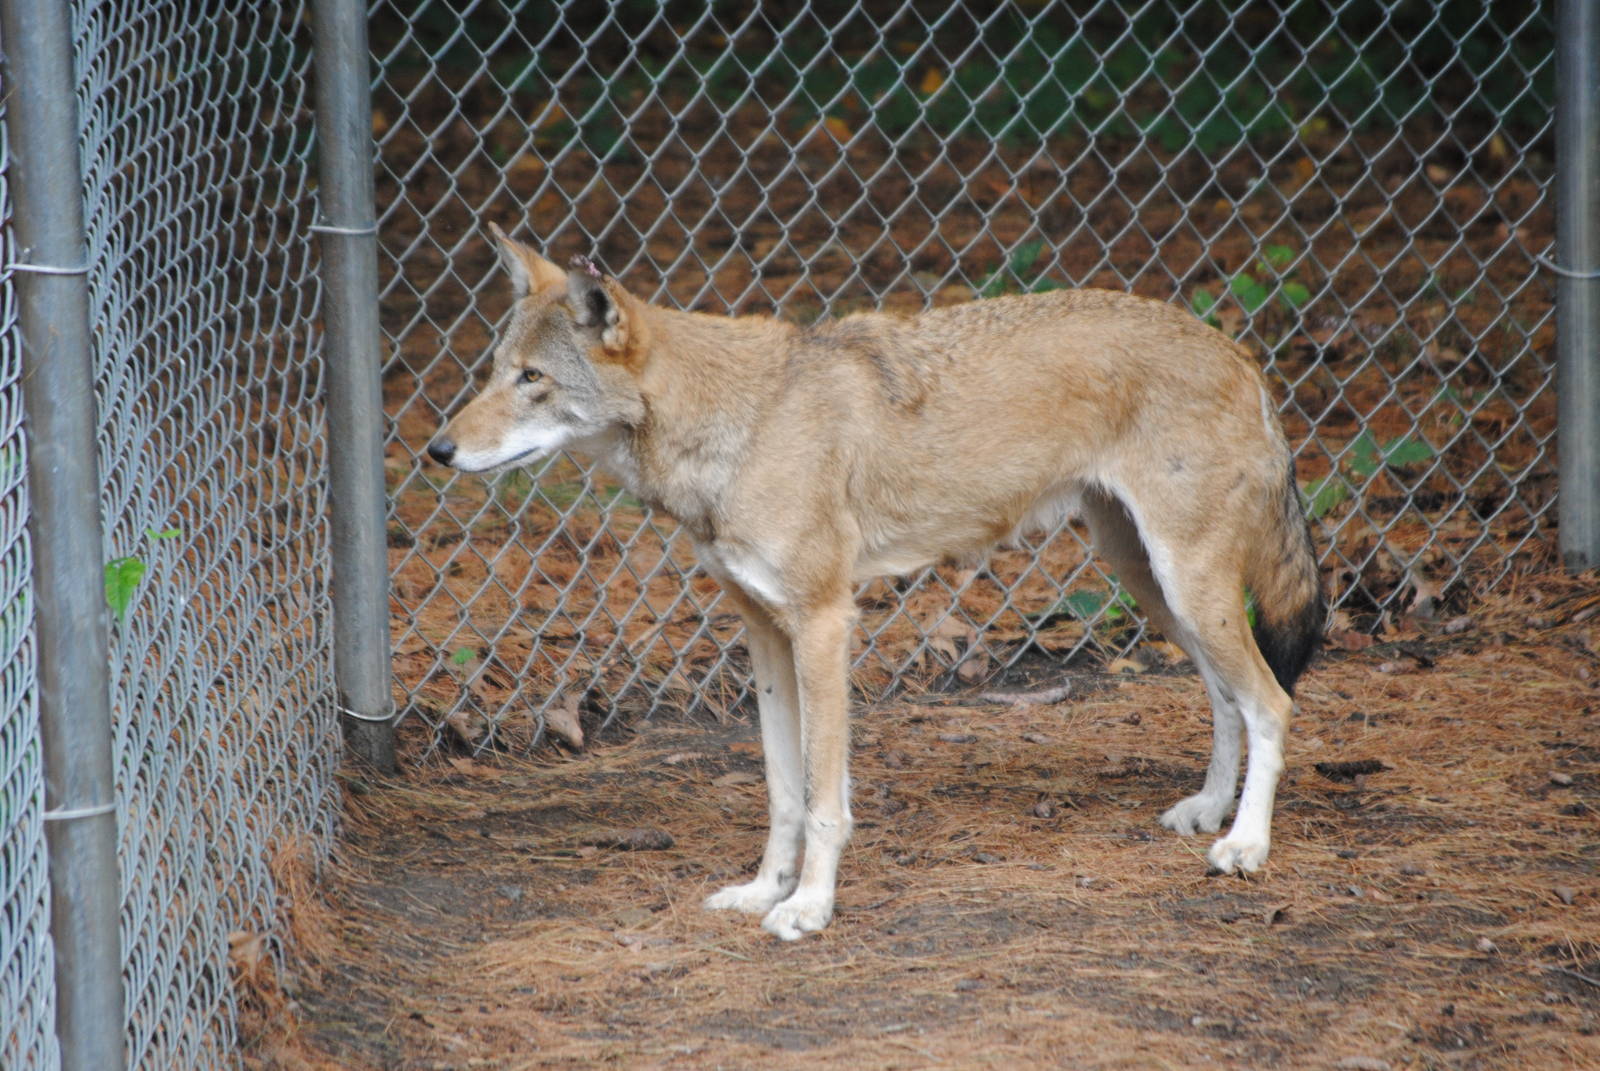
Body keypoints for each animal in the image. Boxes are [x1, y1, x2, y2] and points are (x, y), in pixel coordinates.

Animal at [426, 224, 1325, 940]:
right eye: (496, 370)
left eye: (533, 379)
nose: (437, 449)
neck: (739, 427)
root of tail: (1239, 351)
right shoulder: (763, 632)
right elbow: (782, 790)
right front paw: (764, 889)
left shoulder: (825, 622)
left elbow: (825, 799)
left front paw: (809, 906)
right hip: (1155, 587)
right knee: (1227, 698)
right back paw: (1208, 810)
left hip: (1187, 585)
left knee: (1271, 700)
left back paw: (1247, 844)